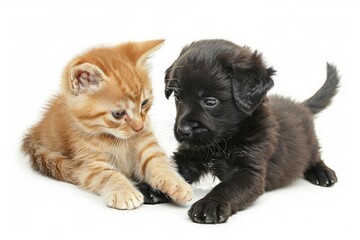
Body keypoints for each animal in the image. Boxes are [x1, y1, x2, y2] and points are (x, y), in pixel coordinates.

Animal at [21, 40, 193, 209]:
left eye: (144, 103)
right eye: (118, 114)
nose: (139, 127)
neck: (116, 139)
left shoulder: (146, 142)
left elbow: (158, 161)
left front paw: (176, 183)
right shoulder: (89, 162)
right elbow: (107, 174)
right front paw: (125, 192)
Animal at [165, 39, 338, 223]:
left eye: (210, 101)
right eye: (178, 98)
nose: (183, 131)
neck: (224, 141)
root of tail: (301, 105)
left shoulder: (250, 171)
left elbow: (227, 187)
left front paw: (210, 204)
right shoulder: (190, 156)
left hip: (310, 144)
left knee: (315, 157)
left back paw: (322, 173)